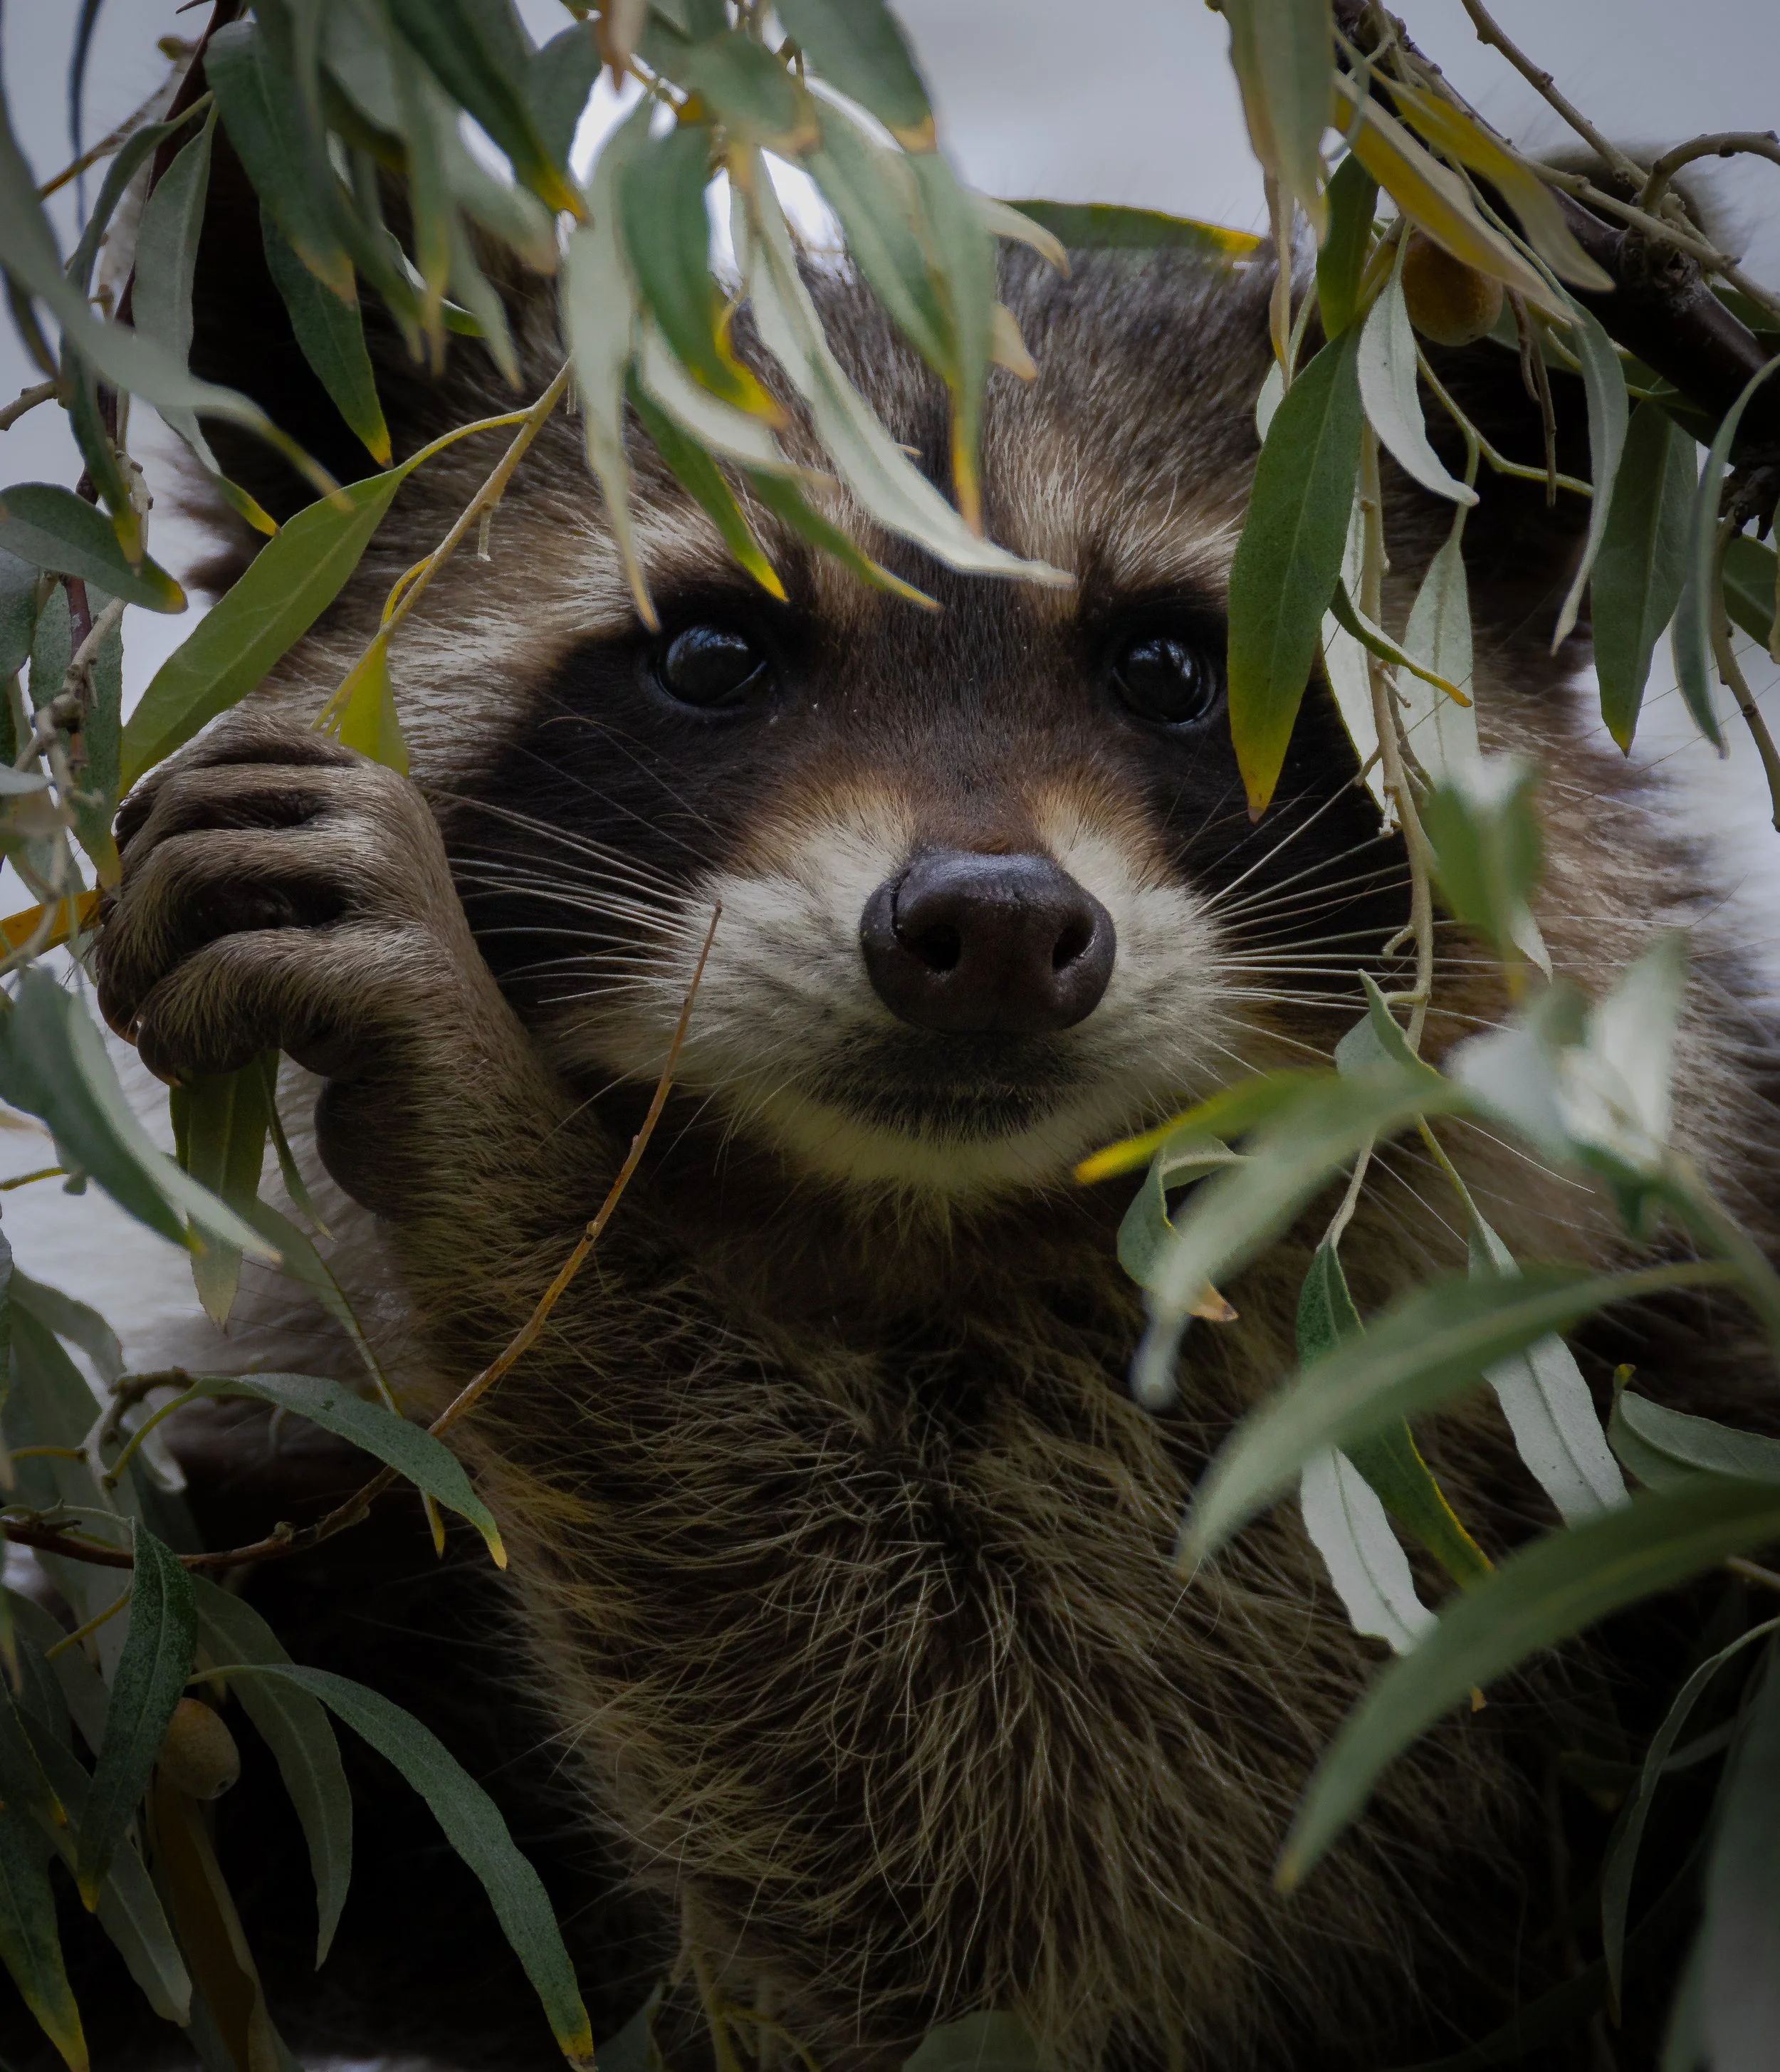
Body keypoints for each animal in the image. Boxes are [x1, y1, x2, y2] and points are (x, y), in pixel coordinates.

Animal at [69, 132, 1780, 2072]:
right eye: (712, 654)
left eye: (1168, 669)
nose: (995, 932)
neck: (909, 1229)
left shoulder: (1479, 1463)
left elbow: (1056, 1853)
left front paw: (494, 1134)